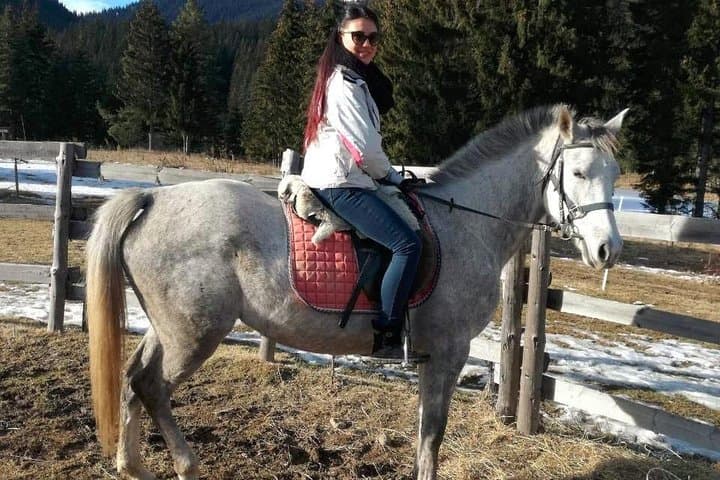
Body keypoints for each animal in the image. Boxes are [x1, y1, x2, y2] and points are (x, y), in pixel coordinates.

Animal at [86, 104, 628, 480]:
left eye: (614, 176)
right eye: (579, 173)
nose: (608, 249)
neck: (465, 224)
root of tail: (153, 197)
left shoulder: (432, 356)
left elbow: (424, 432)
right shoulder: (449, 352)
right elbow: (433, 433)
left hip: (167, 328)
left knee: (133, 379)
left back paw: (132, 466)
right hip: (194, 334)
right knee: (152, 387)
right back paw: (186, 464)